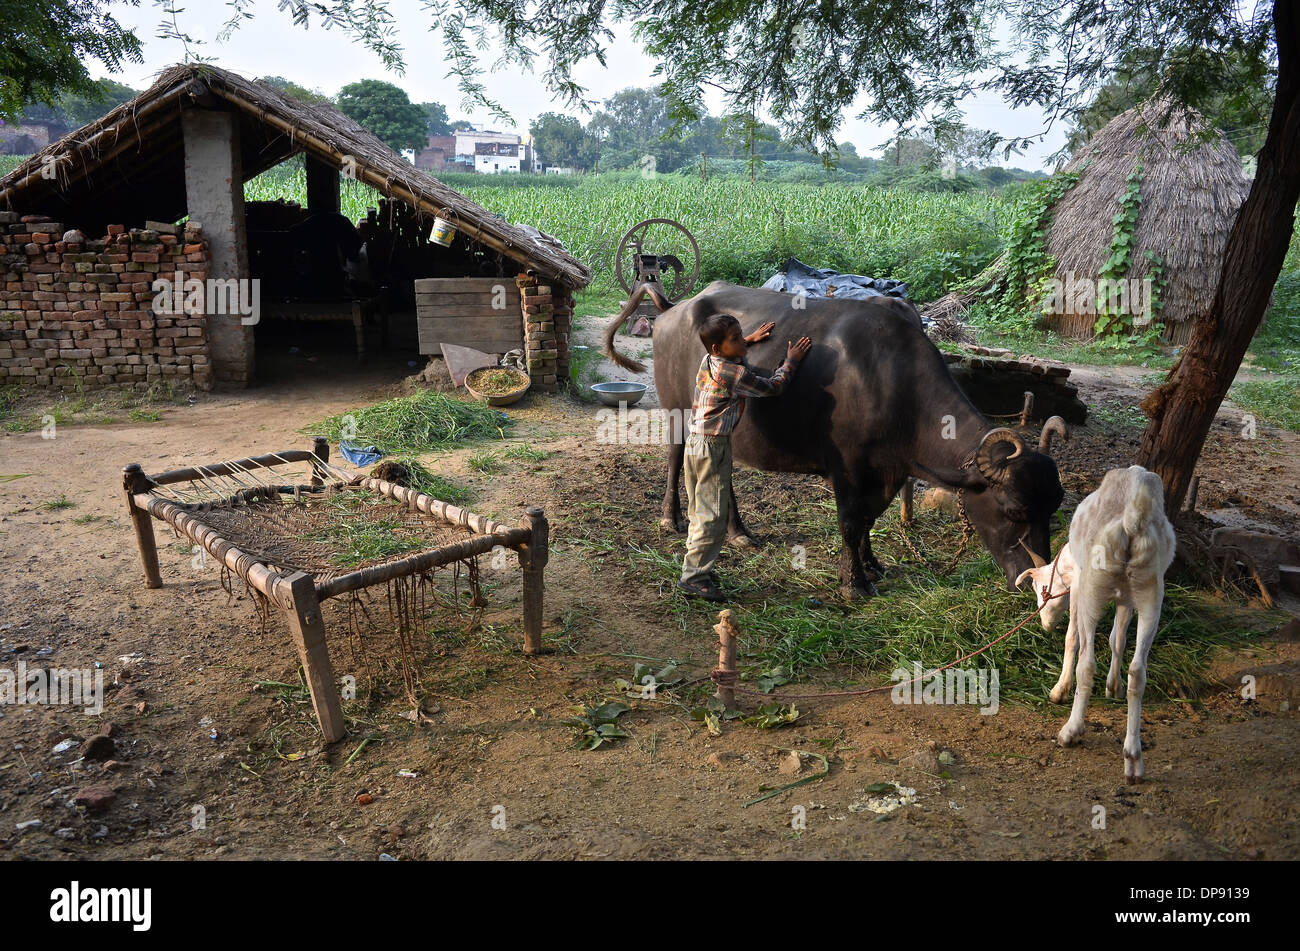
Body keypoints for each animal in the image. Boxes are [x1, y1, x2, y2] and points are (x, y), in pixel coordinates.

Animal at [603, 278, 1060, 597]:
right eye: (1015, 510)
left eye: (1053, 509)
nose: (1036, 579)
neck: (893, 383)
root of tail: (673, 309)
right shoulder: (847, 466)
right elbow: (851, 522)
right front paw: (853, 582)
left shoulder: (890, 470)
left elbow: (870, 519)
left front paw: (873, 565)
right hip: (678, 410)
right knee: (675, 454)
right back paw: (671, 517)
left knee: (724, 473)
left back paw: (738, 531)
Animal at [1013, 465, 1180, 784]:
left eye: (1041, 588)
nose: (1045, 625)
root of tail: (1133, 522)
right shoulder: (1127, 598)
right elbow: (1118, 639)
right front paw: (1113, 687)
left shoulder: (1079, 585)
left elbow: (1072, 638)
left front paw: (1059, 690)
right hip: (1151, 589)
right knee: (1138, 671)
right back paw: (1133, 759)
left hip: (1093, 587)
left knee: (1087, 662)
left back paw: (1070, 731)